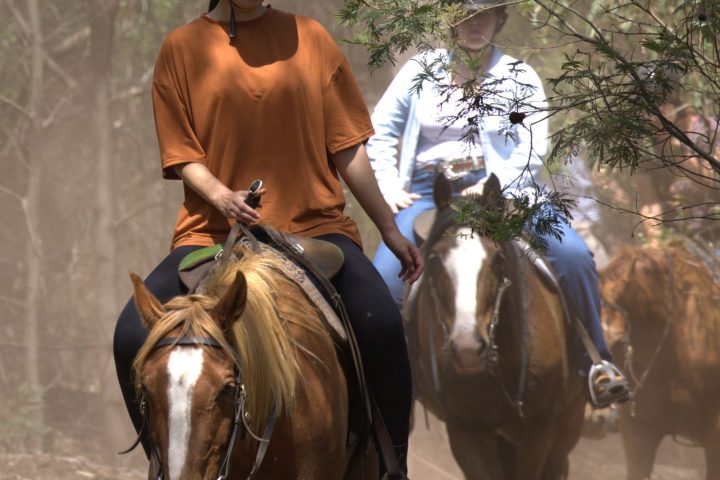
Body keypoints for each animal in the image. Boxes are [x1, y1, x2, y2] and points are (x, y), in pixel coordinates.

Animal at [405, 173, 586, 479]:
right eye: (434, 258)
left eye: (498, 257)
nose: (467, 349)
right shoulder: (466, 429)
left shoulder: (541, 428)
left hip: (568, 422)